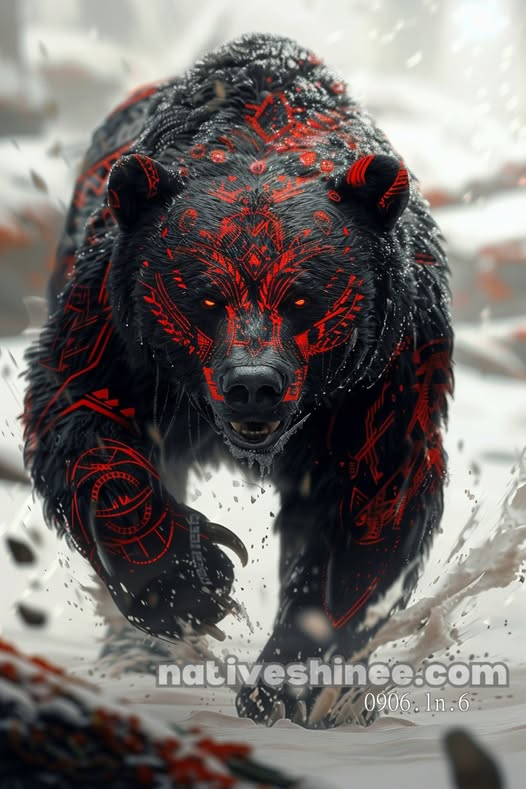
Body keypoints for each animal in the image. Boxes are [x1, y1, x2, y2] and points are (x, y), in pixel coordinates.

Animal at [23, 33, 453, 728]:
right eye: (203, 296)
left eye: (304, 296)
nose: (253, 384)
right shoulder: (116, 333)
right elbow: (82, 421)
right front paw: (194, 579)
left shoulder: (383, 377)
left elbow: (371, 498)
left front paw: (293, 681)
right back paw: (134, 649)